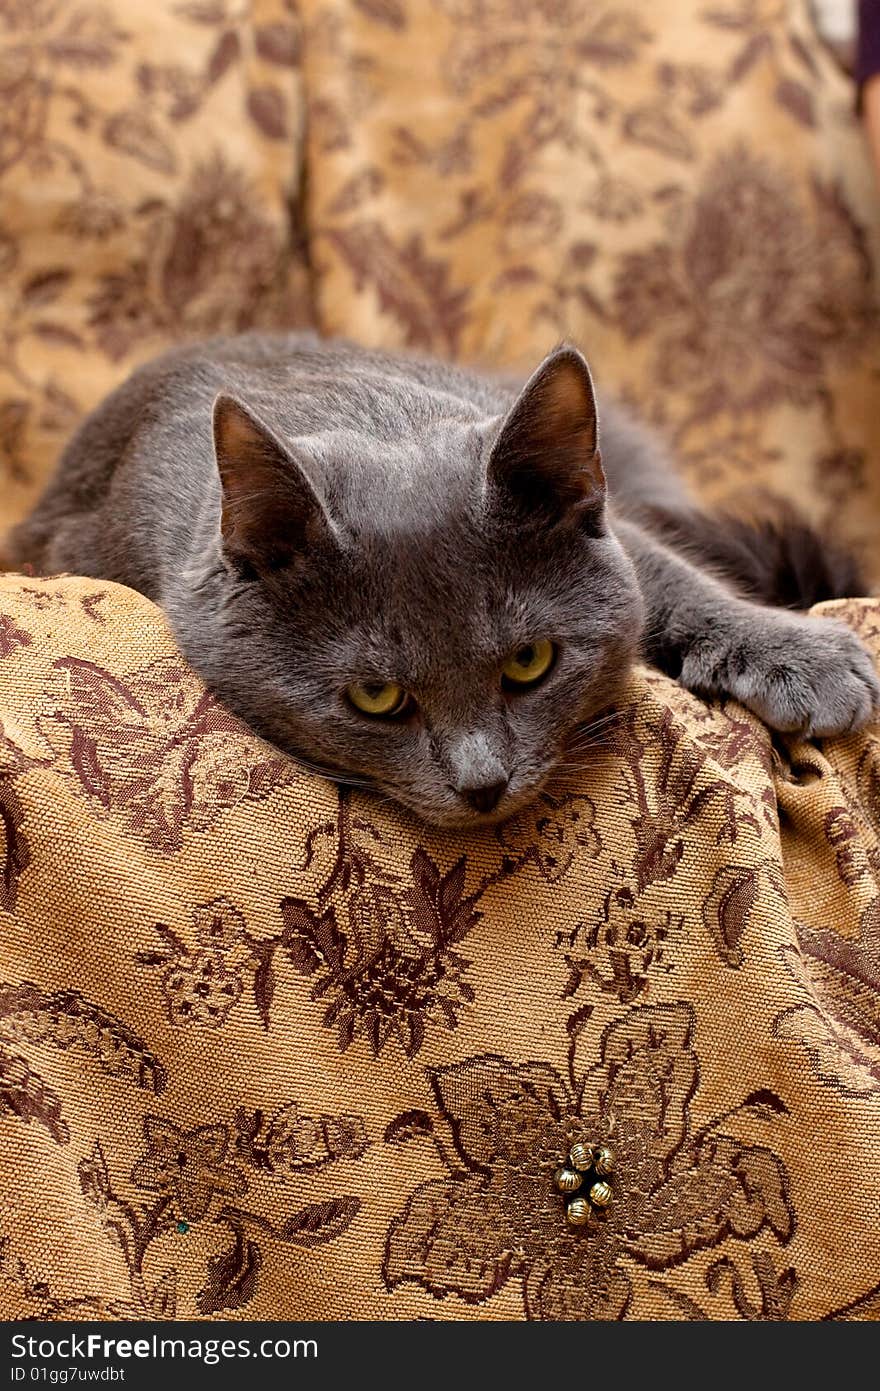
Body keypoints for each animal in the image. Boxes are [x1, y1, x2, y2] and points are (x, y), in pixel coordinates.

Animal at [8, 328, 878, 823]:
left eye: (530, 662)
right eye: (376, 695)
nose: (482, 783)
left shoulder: (624, 531)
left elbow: (667, 571)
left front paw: (810, 658)